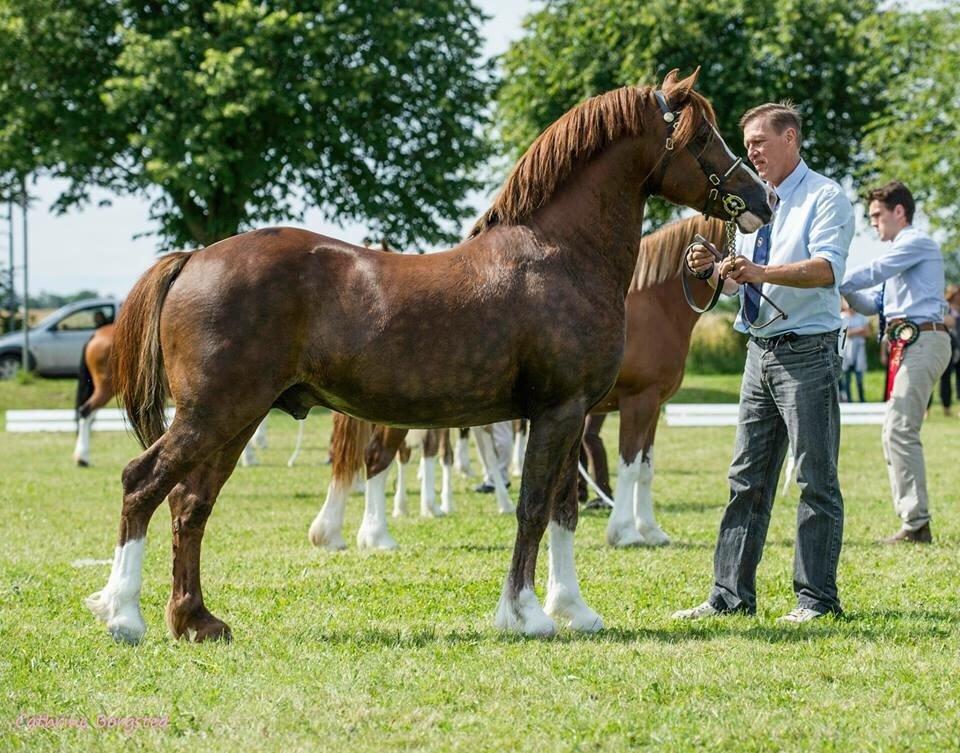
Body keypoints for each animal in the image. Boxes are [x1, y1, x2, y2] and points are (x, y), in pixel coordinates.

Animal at [82, 70, 772, 644]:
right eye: (702, 136)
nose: (761, 197)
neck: (559, 256)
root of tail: (194, 258)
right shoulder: (560, 411)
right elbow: (533, 508)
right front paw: (524, 614)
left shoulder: (573, 415)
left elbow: (563, 509)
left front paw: (573, 609)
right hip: (214, 414)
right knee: (142, 484)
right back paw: (124, 615)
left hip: (236, 419)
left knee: (189, 504)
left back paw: (195, 620)